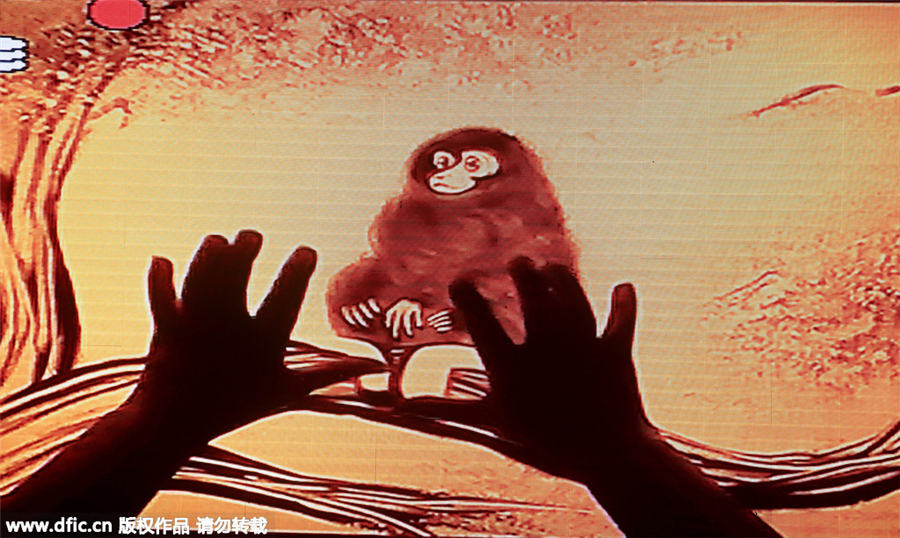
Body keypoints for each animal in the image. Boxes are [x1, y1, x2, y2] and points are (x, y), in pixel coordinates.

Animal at [326, 127, 578, 396]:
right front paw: (356, 301)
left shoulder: (534, 232)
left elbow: (505, 293)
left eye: (472, 164)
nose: (443, 171)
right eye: (442, 161)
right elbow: (385, 265)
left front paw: (413, 306)